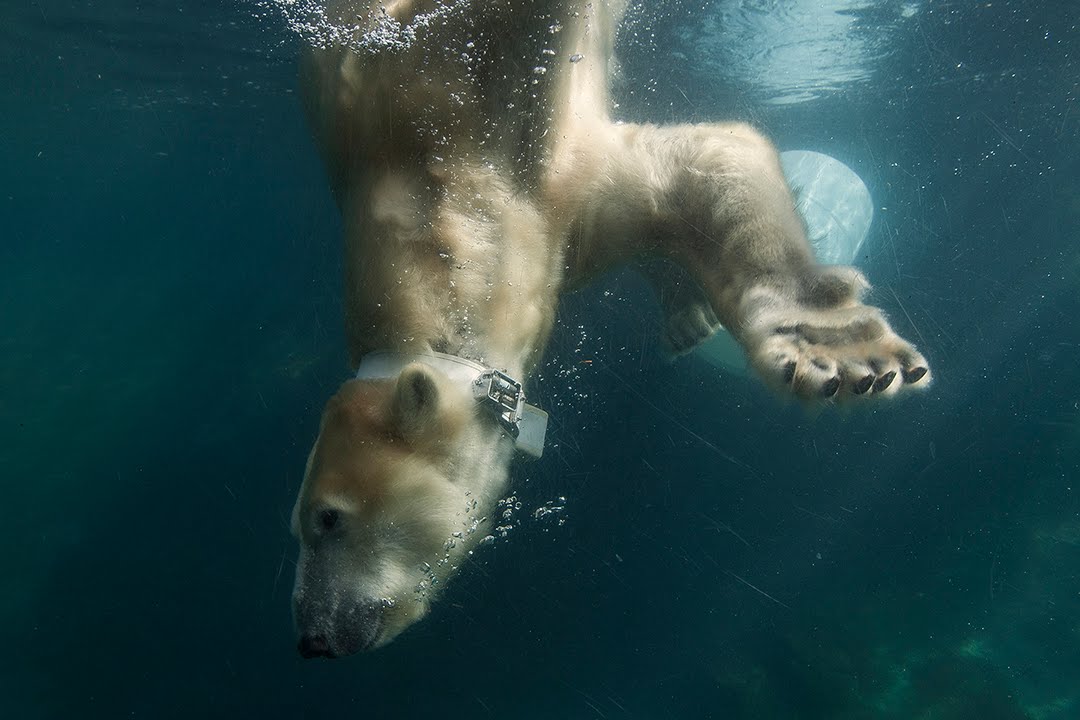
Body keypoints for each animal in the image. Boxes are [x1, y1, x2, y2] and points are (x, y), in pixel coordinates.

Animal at [291, 0, 933, 660]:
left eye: (328, 518)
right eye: (298, 526)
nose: (311, 638)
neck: (438, 203)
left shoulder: (518, 143)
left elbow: (715, 155)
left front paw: (840, 353)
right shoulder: (554, 231)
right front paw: (686, 298)